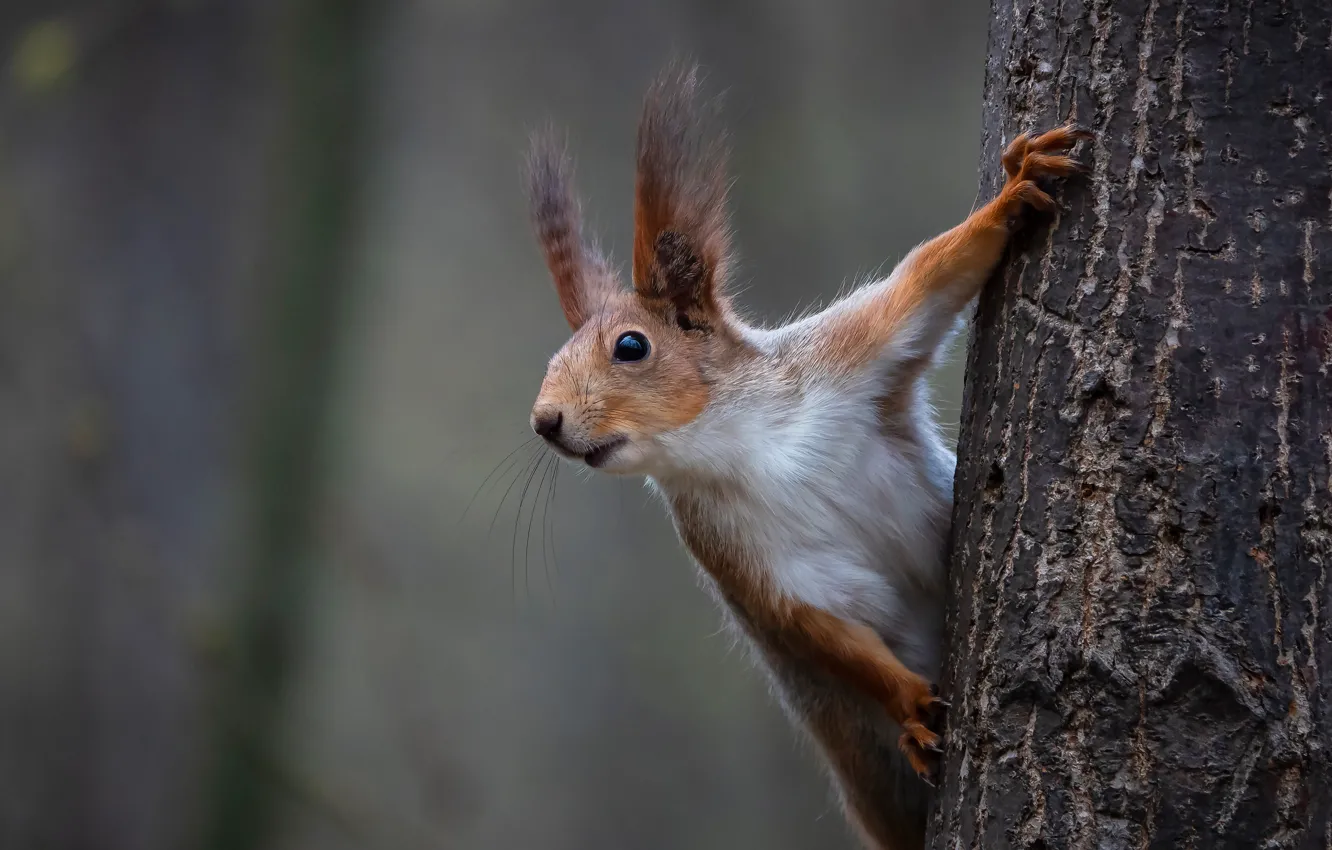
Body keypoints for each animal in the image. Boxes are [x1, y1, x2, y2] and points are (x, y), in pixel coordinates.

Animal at [519, 61, 1081, 850]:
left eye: (631, 346)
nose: (544, 421)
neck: (741, 443)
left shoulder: (849, 355)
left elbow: (928, 280)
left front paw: (1011, 194)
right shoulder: (745, 556)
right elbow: (820, 630)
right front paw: (909, 705)